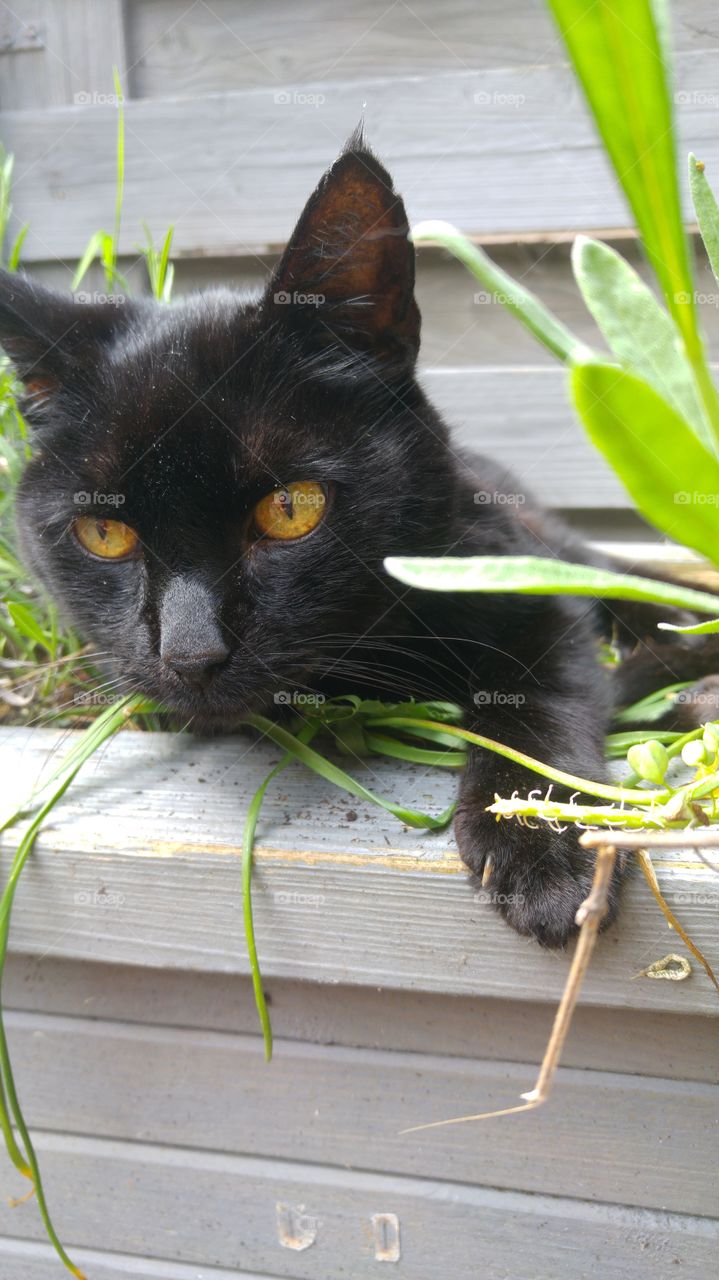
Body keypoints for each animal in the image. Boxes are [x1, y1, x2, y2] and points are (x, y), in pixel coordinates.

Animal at [0, 135, 706, 947]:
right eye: (104, 532)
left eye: (291, 509)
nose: (190, 655)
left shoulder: (517, 583)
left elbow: (539, 690)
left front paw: (543, 843)